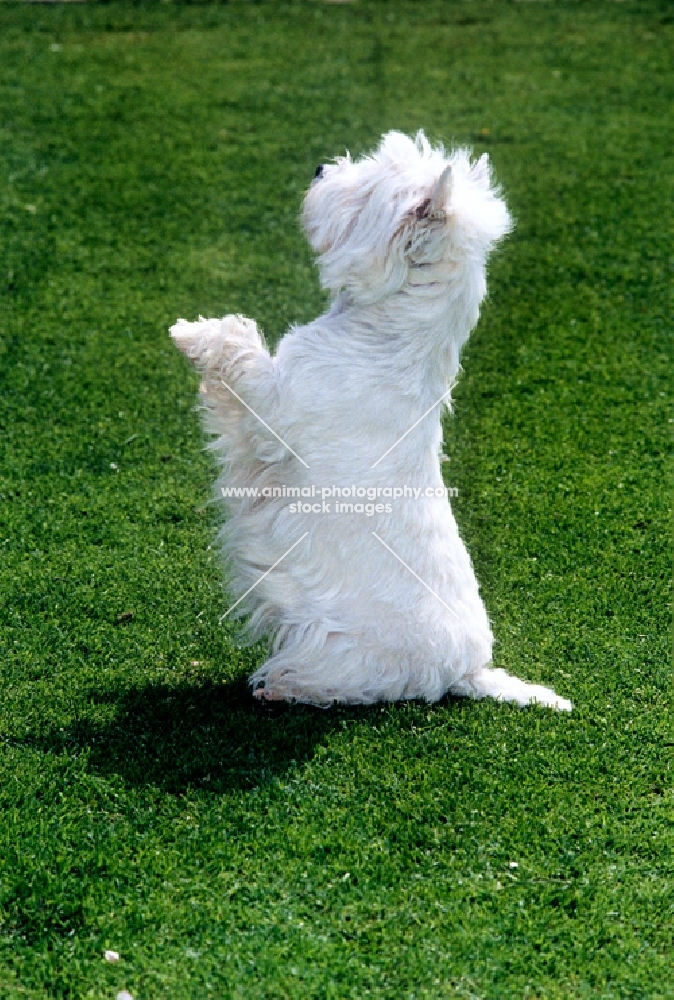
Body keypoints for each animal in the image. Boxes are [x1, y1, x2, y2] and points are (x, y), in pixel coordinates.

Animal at [171, 131, 568, 712]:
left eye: (365, 189)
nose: (318, 168)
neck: (384, 335)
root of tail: (469, 671)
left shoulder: (276, 410)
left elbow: (240, 350)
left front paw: (189, 332)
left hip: (351, 653)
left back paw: (283, 686)